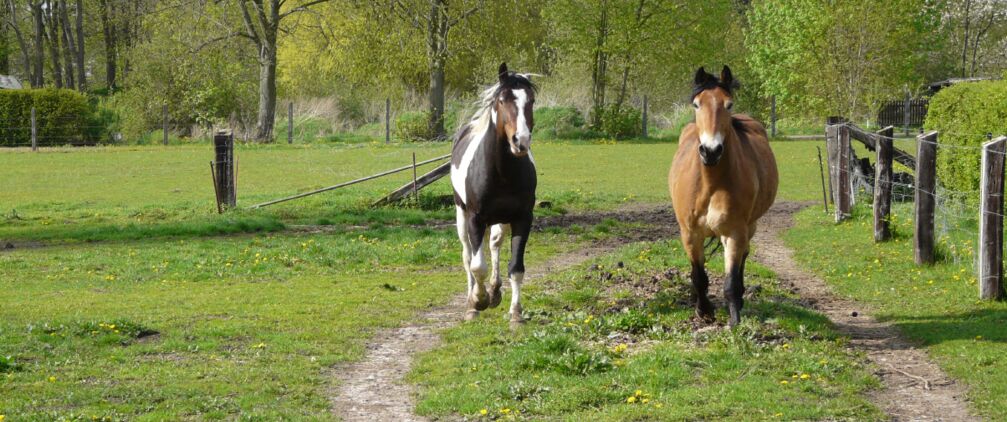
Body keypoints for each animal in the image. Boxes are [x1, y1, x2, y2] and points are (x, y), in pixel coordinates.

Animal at [453, 62, 539, 326]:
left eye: (531, 100)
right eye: (502, 100)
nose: (520, 141)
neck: (501, 172)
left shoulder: (522, 218)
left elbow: (516, 267)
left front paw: (516, 313)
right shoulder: (475, 218)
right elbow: (477, 266)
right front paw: (477, 301)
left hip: (500, 220)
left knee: (494, 244)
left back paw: (495, 290)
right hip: (461, 215)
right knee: (467, 255)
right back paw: (472, 300)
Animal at [668, 65, 777, 326]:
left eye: (728, 104)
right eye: (696, 104)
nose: (711, 150)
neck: (710, 184)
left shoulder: (734, 233)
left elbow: (730, 281)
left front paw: (734, 321)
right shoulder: (690, 234)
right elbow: (698, 276)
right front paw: (704, 310)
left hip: (751, 225)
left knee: (744, 257)